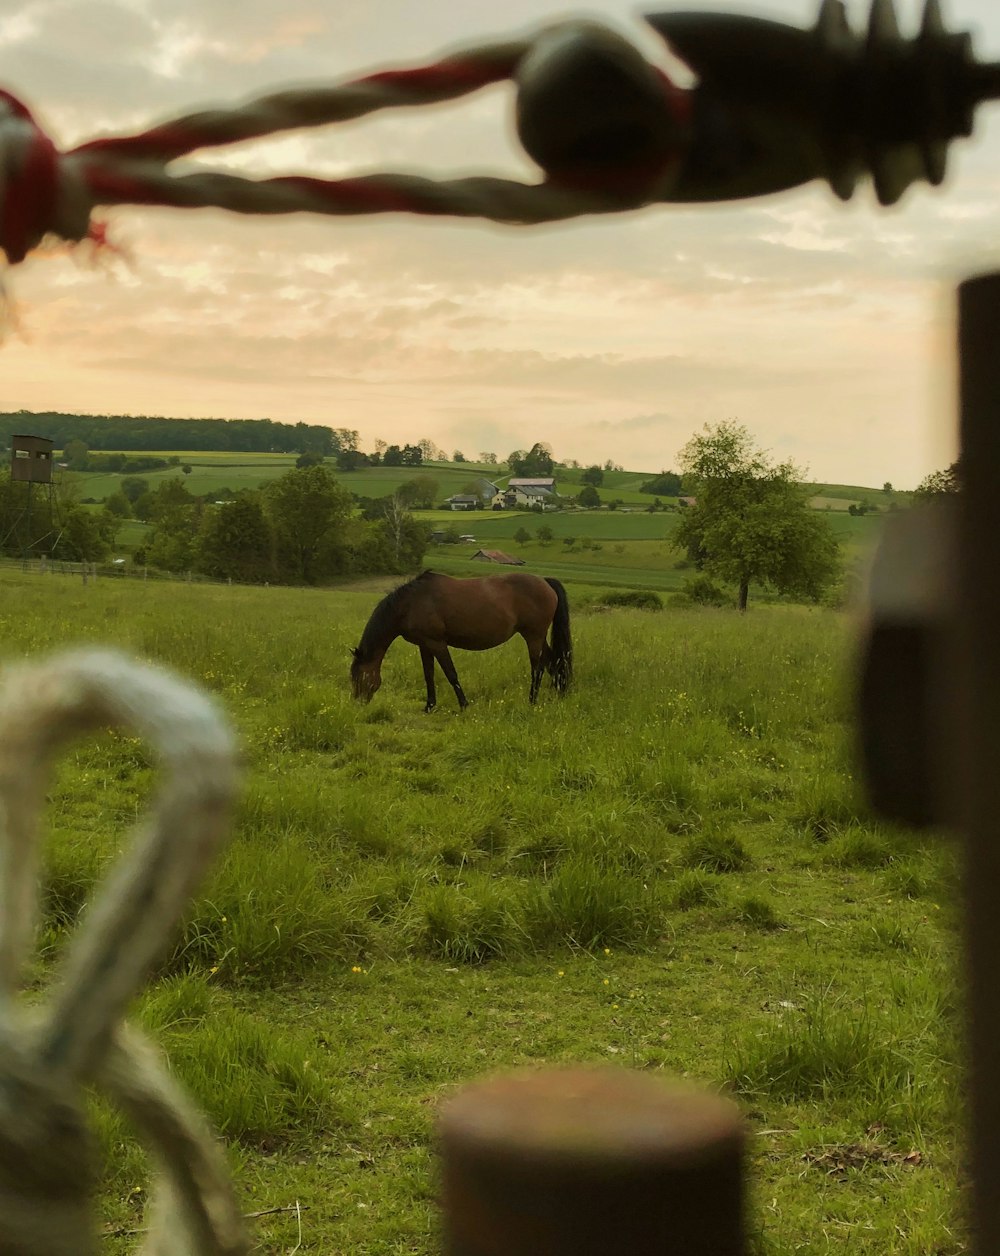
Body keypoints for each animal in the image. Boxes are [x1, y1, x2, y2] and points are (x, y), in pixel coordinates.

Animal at [349, 572, 570, 713]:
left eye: (358, 676)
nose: (357, 703)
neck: (411, 604)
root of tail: (545, 582)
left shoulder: (437, 643)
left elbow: (451, 673)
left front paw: (464, 705)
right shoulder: (424, 645)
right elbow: (429, 675)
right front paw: (429, 706)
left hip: (533, 636)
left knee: (538, 668)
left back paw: (532, 701)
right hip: (538, 637)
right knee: (554, 662)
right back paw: (559, 693)